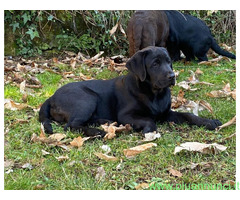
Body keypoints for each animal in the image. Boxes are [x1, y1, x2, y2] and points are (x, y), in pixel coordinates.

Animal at [39, 46, 221, 137]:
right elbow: (149, 120)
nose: (172, 76)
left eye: (169, 62)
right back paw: (96, 132)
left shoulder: (165, 113)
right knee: (70, 125)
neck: (154, 94)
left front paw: (209, 122)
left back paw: (104, 122)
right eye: (155, 64)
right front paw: (149, 131)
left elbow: (188, 115)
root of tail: (51, 97)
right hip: (87, 98)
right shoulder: (126, 115)